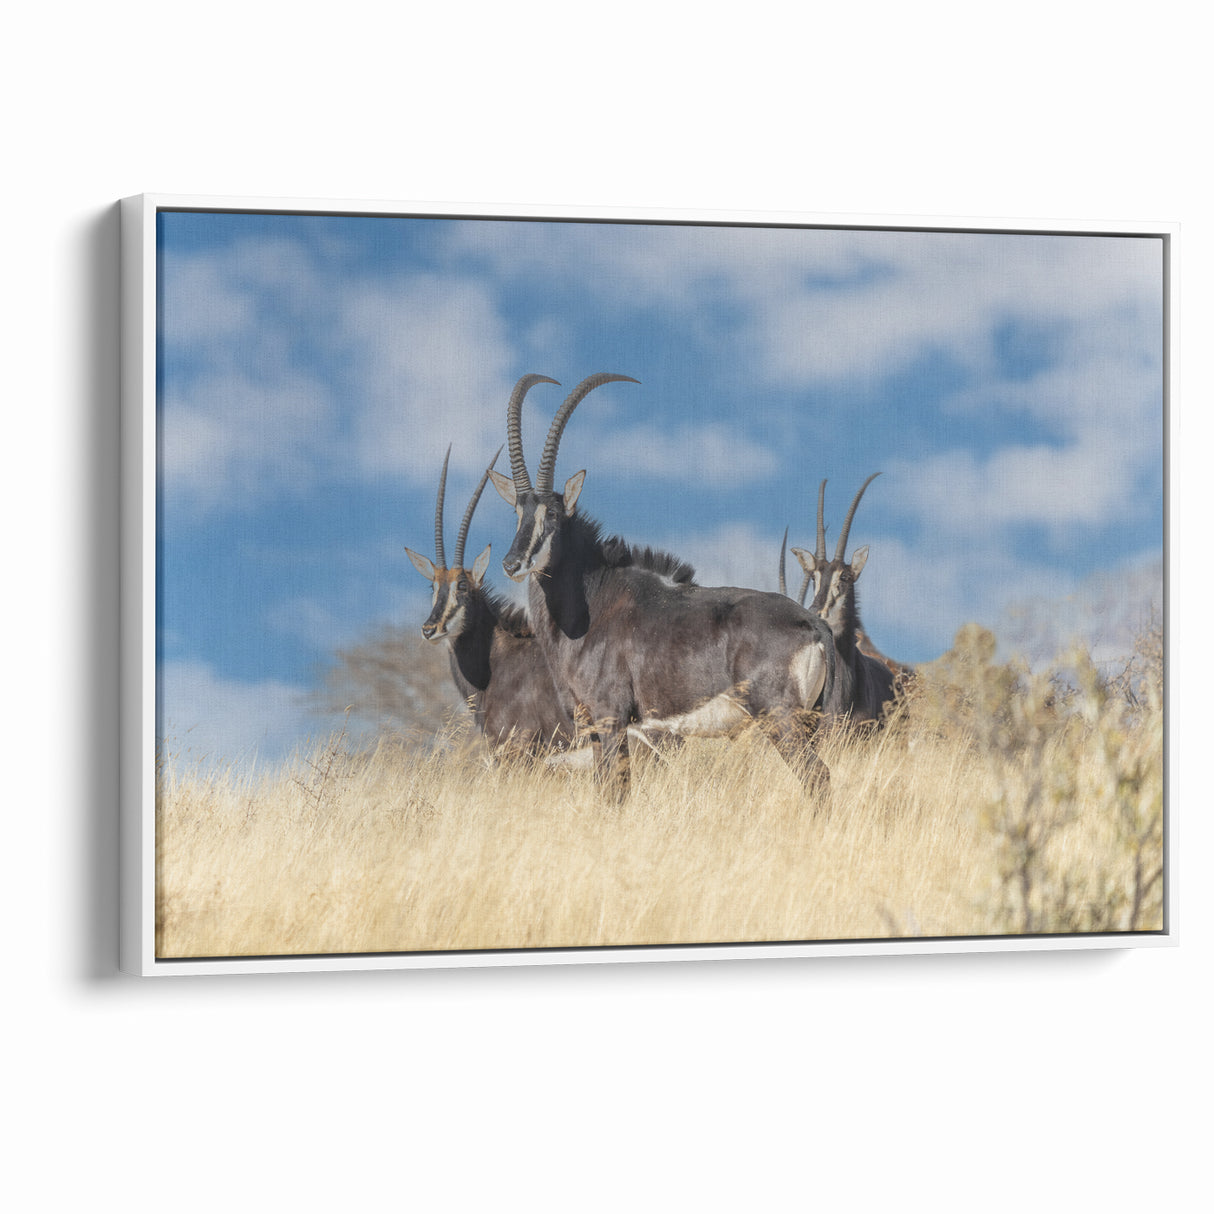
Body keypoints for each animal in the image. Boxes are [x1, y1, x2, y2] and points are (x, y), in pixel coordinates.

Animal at [489, 372, 836, 801]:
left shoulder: (611, 717)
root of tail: (813, 623)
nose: (512, 563)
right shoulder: (595, 728)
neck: (592, 603)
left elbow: (615, 792)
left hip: (781, 718)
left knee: (817, 777)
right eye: (517, 511)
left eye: (552, 514)